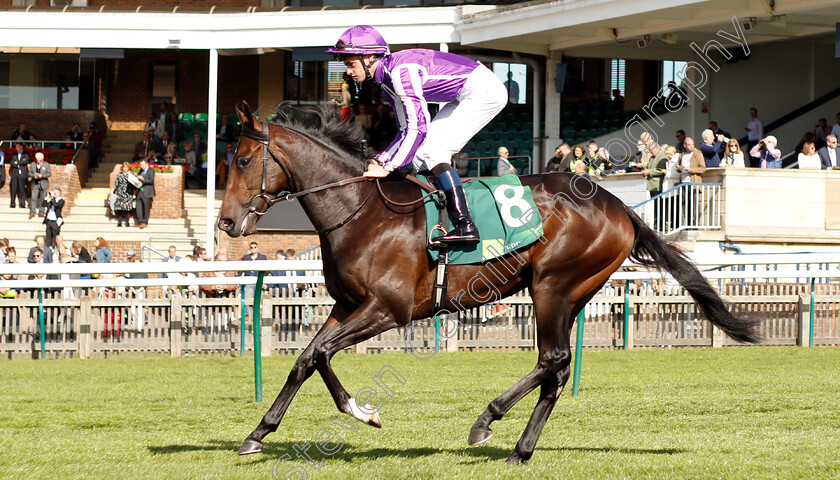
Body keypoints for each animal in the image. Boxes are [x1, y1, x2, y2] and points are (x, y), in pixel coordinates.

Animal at [217, 102, 760, 464]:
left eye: (242, 160)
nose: (225, 223)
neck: (360, 211)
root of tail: (619, 205)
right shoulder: (347, 305)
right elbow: (310, 358)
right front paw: (271, 430)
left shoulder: (388, 309)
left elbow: (320, 354)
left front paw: (353, 412)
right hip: (573, 293)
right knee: (557, 369)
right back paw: (521, 449)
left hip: (552, 286)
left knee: (552, 359)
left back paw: (486, 421)